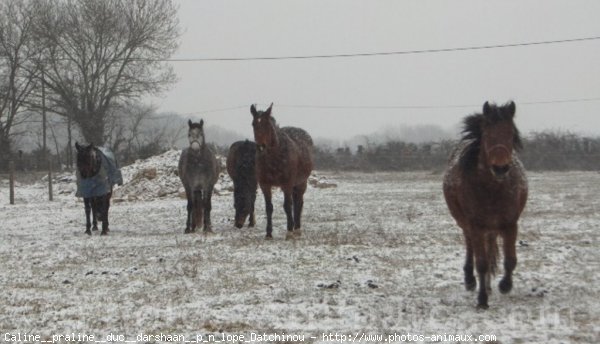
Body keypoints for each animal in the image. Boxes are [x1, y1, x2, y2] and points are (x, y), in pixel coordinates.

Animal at [250, 103, 314, 239]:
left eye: (267, 124)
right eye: (253, 124)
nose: (261, 147)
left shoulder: (287, 185)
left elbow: (287, 206)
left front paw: (289, 231)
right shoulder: (265, 185)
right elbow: (269, 207)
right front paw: (268, 233)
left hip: (301, 183)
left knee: (298, 203)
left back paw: (297, 228)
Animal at [440, 100, 528, 310]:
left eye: (511, 134)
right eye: (487, 134)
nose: (500, 168)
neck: (492, 189)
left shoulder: (510, 224)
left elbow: (510, 260)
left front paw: (505, 285)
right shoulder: (476, 225)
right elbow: (481, 262)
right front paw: (482, 300)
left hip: (492, 228)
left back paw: (488, 285)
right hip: (467, 225)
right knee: (471, 247)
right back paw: (471, 281)